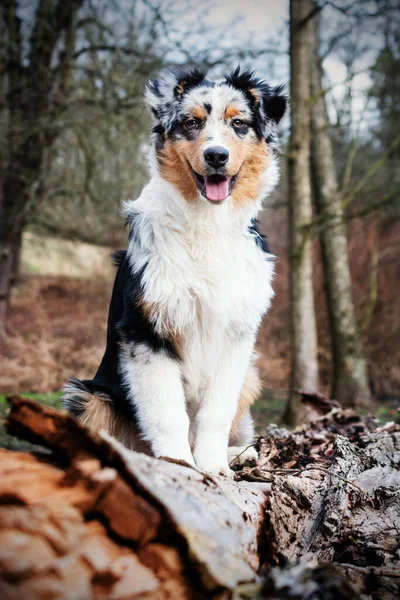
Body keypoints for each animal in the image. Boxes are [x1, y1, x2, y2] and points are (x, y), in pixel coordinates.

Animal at [62, 67, 286, 478]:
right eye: (191, 122)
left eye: (239, 123)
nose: (216, 155)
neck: (206, 223)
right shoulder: (146, 333)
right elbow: (167, 413)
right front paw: (178, 465)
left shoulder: (236, 336)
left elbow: (215, 413)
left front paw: (214, 467)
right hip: (88, 395)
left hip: (250, 374)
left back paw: (241, 454)